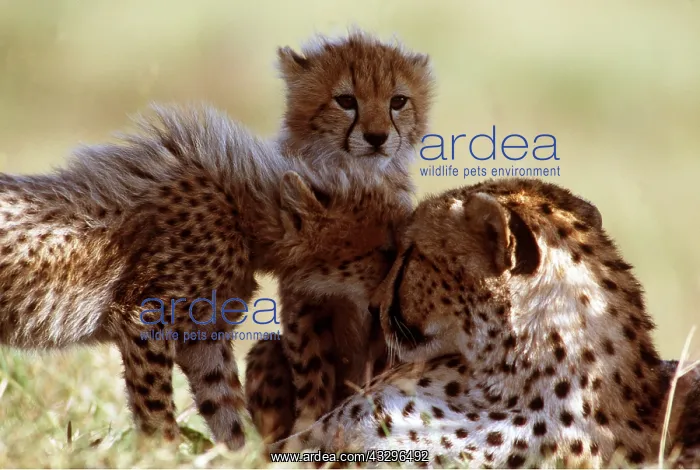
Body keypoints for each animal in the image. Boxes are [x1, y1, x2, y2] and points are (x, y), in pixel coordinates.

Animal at [0, 103, 404, 450]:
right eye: (386, 251)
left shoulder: (203, 337)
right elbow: (155, 403)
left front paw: (237, 455)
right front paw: (162, 452)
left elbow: (222, 400)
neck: (245, 213)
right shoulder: (144, 318)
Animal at [244, 28, 434, 445]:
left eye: (398, 101)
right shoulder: (305, 302)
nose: (377, 137)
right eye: (346, 101)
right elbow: (313, 373)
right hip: (265, 350)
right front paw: (306, 432)